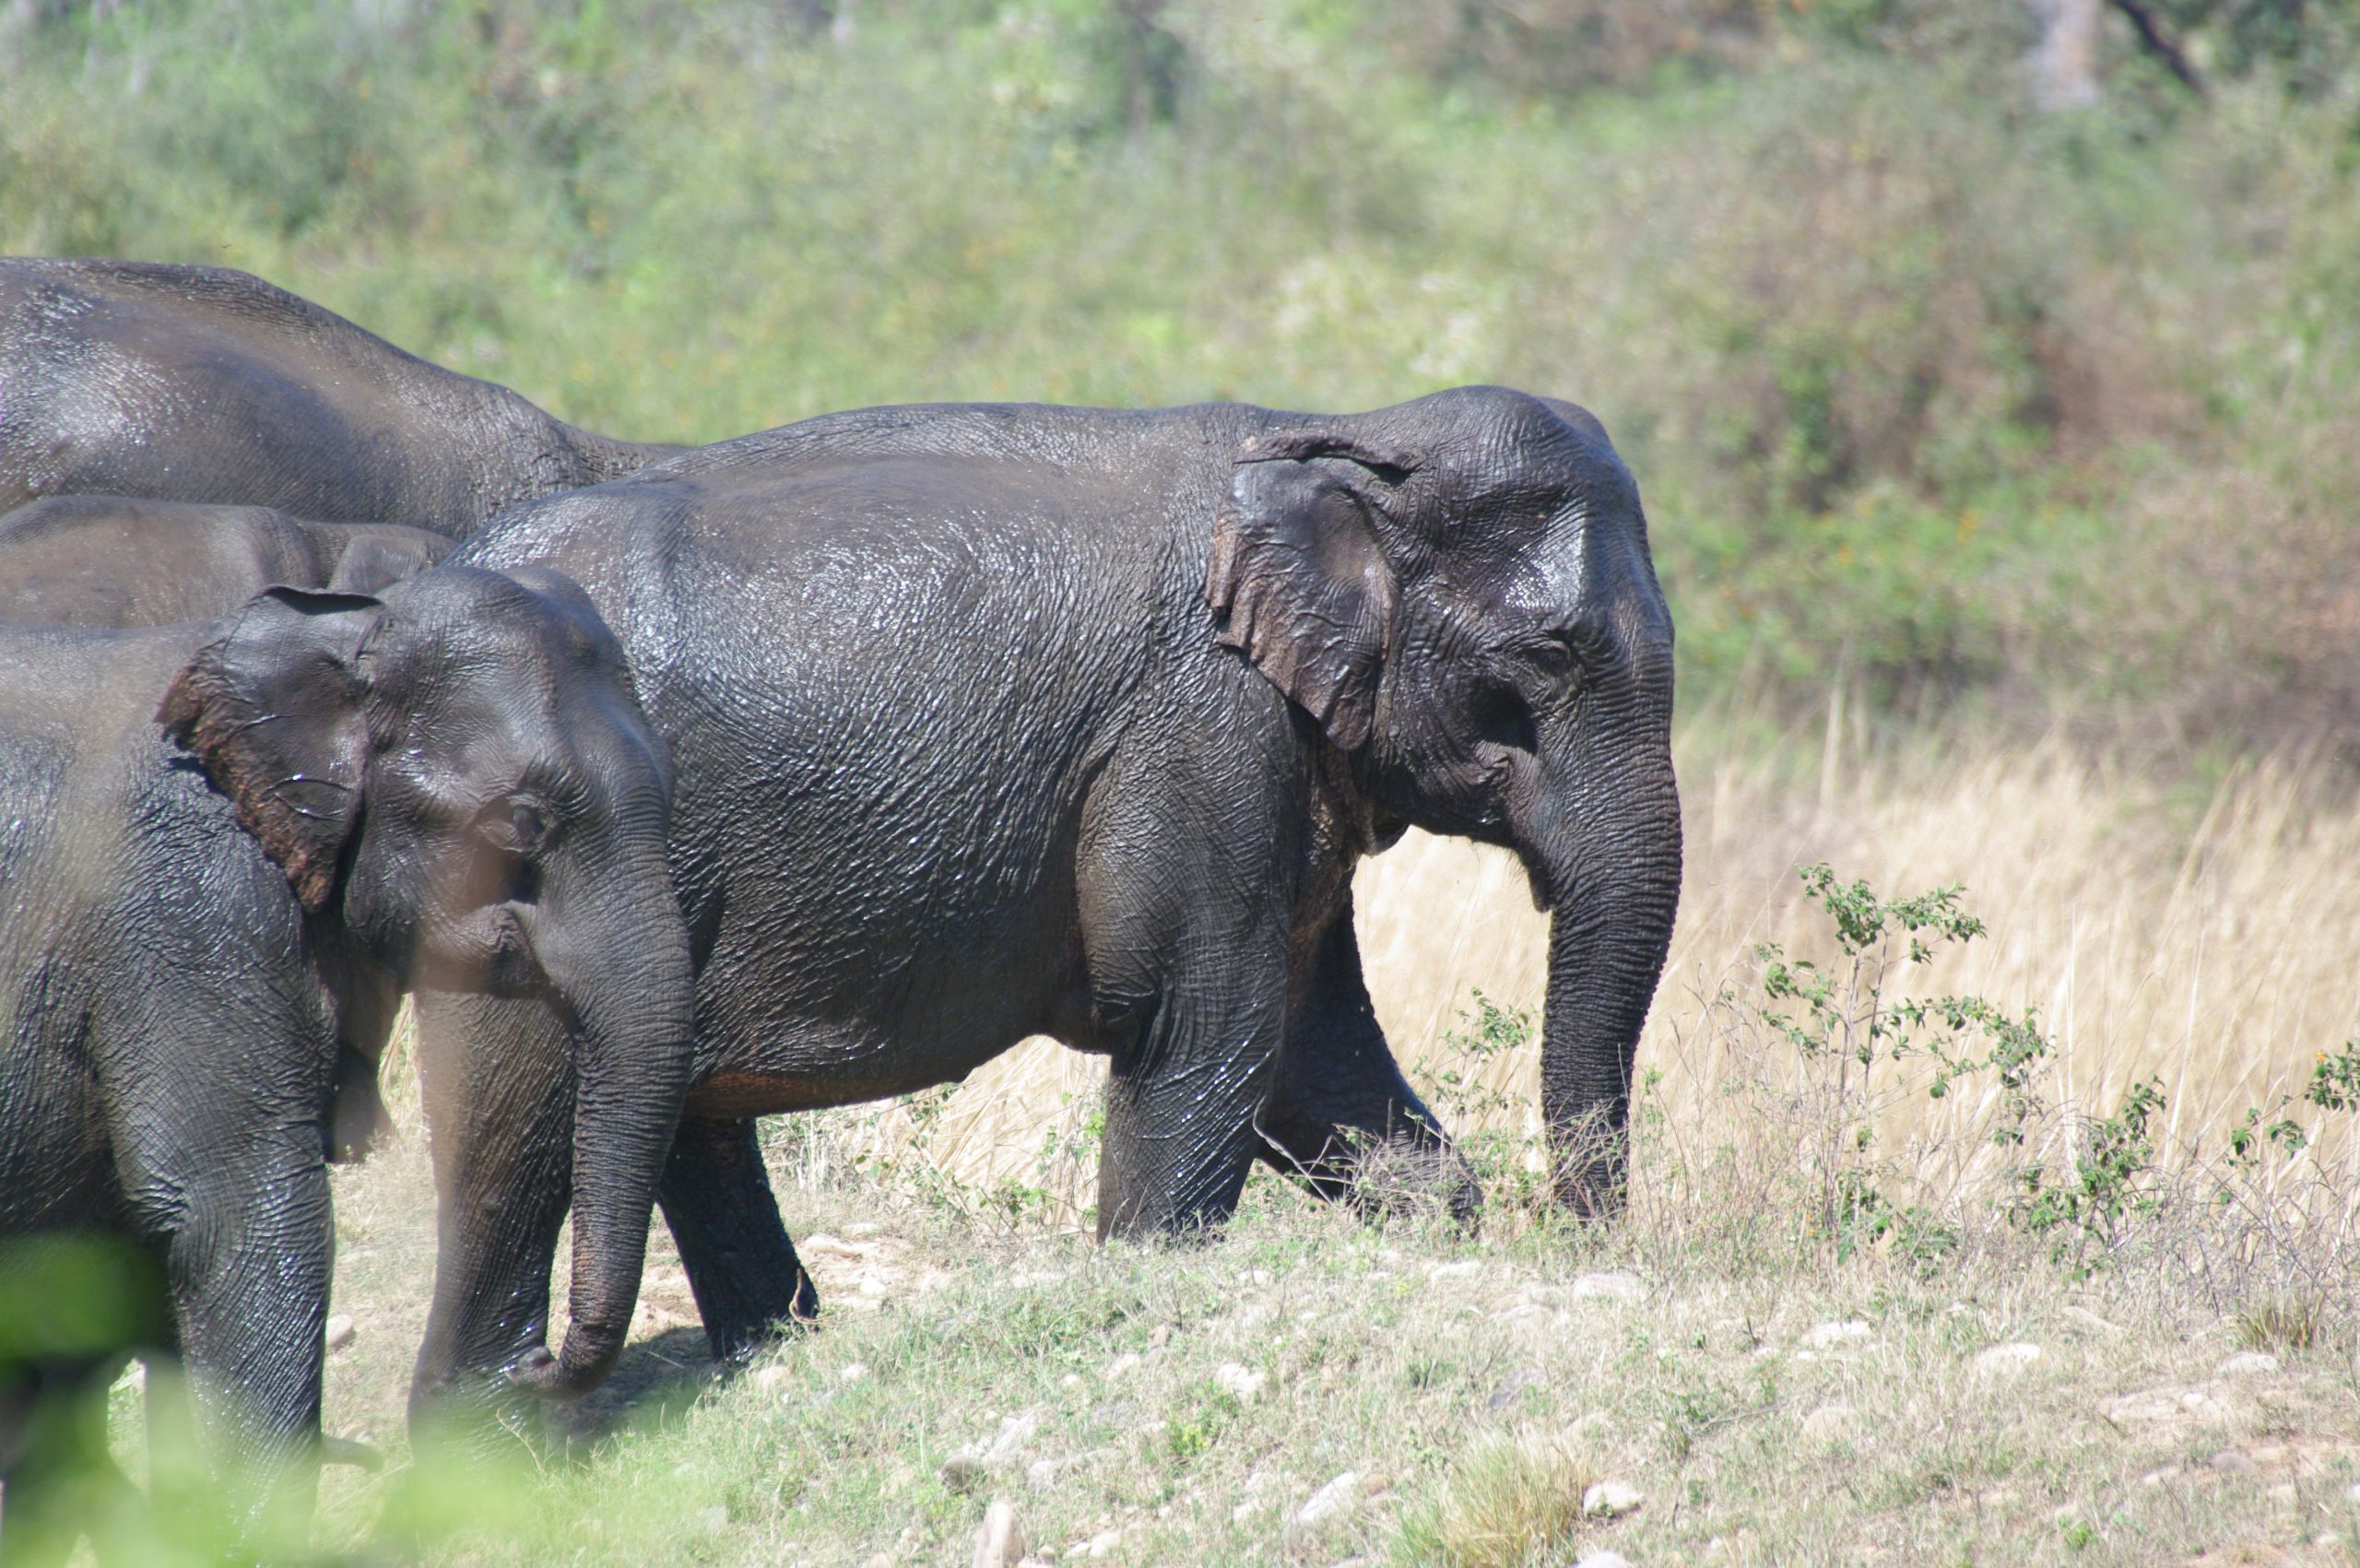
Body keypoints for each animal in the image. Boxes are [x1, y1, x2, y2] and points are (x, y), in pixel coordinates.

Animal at [412, 384, 1680, 1416]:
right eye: (1545, 663)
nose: (1578, 1242)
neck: (1338, 432)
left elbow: (1311, 1055)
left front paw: (1432, 1228)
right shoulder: (1201, 730)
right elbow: (1202, 1030)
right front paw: (1147, 1282)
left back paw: (774, 1356)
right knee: (519, 1140)